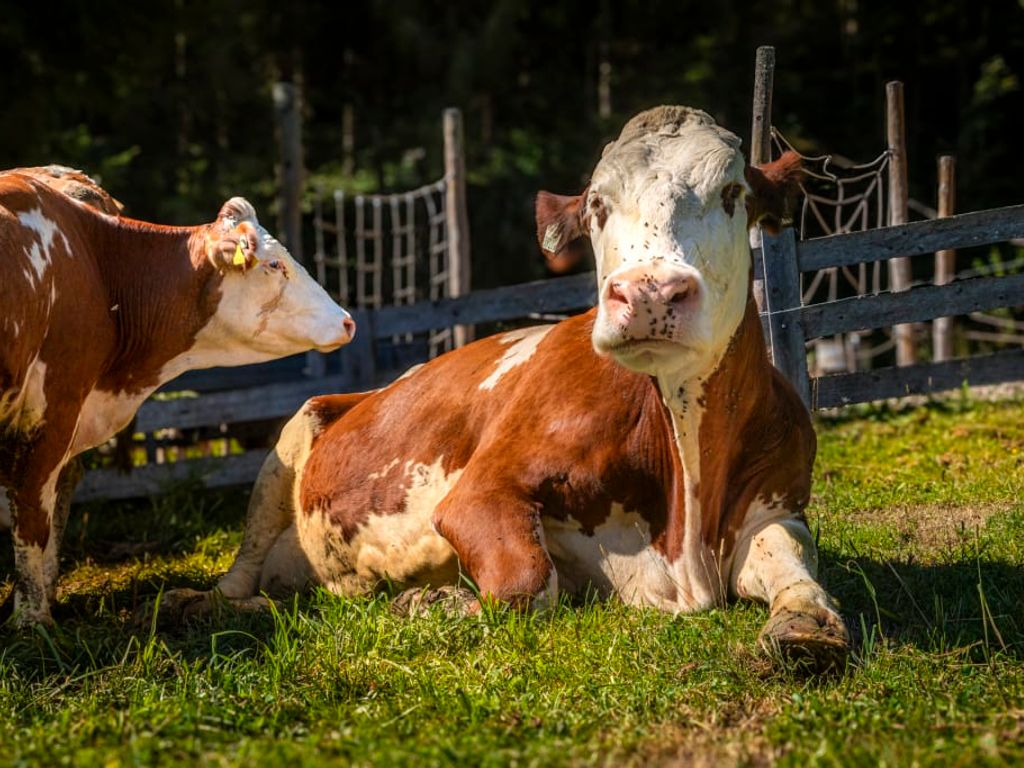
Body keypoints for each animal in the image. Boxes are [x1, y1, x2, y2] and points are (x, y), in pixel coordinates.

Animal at [0, 170, 355, 626]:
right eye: (275, 265)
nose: (347, 321)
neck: (98, 263)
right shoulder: (54, 406)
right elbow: (31, 515)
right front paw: (32, 620)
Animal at [163, 106, 849, 668]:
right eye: (597, 206)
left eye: (733, 193)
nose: (650, 292)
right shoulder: (481, 491)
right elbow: (528, 582)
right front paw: (433, 601)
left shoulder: (777, 502)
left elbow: (795, 562)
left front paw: (804, 627)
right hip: (282, 452)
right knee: (240, 574)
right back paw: (202, 605)